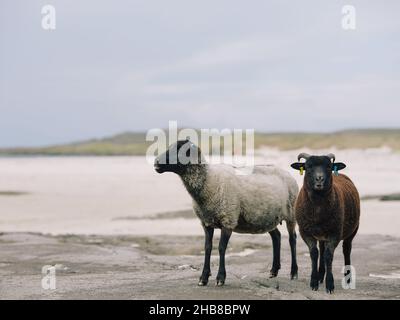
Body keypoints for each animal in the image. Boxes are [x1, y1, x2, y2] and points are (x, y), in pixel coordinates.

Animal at [155, 139, 298, 286]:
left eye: (180, 150)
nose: (156, 162)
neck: (209, 181)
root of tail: (286, 172)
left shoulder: (228, 220)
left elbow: (221, 248)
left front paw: (220, 278)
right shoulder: (206, 222)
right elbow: (207, 247)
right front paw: (203, 278)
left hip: (291, 213)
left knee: (292, 239)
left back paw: (293, 273)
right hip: (267, 217)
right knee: (277, 236)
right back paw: (274, 270)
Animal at [290, 154, 360, 294]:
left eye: (328, 166)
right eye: (308, 167)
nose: (319, 179)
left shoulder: (335, 233)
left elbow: (329, 255)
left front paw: (330, 285)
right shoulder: (305, 232)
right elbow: (314, 253)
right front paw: (314, 282)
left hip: (352, 230)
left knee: (346, 250)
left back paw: (347, 279)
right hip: (322, 234)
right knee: (321, 250)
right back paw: (320, 275)